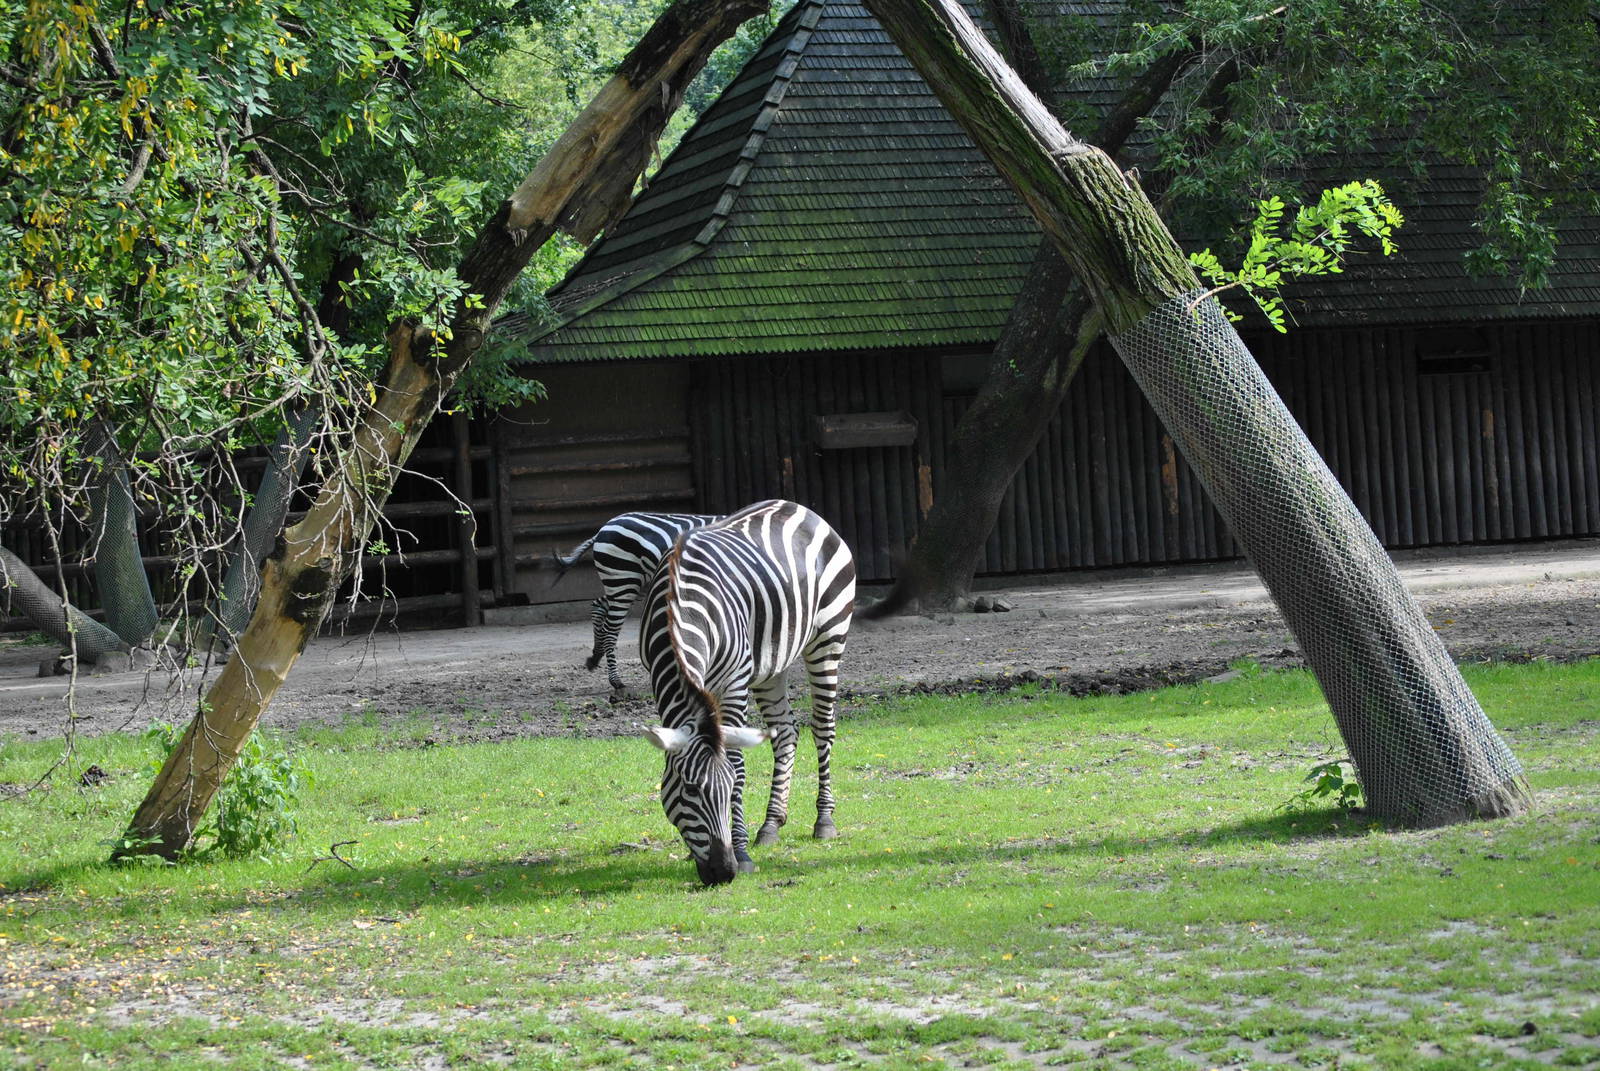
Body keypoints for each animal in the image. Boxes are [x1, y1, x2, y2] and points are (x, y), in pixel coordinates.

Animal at [554, 511, 720, 691]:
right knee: (610, 629)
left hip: (632, 586)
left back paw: (595, 656)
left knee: (598, 605)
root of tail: (603, 529)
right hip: (624, 581)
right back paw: (616, 680)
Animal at [638, 499, 855, 885]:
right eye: (689, 789)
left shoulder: (734, 682)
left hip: (829, 638)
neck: (683, 603)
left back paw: (824, 820)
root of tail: (800, 508)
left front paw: (741, 852)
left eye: (730, 791)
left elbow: (738, 762)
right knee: (785, 732)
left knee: (823, 728)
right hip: (772, 661)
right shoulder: (658, 674)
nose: (723, 872)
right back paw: (771, 824)